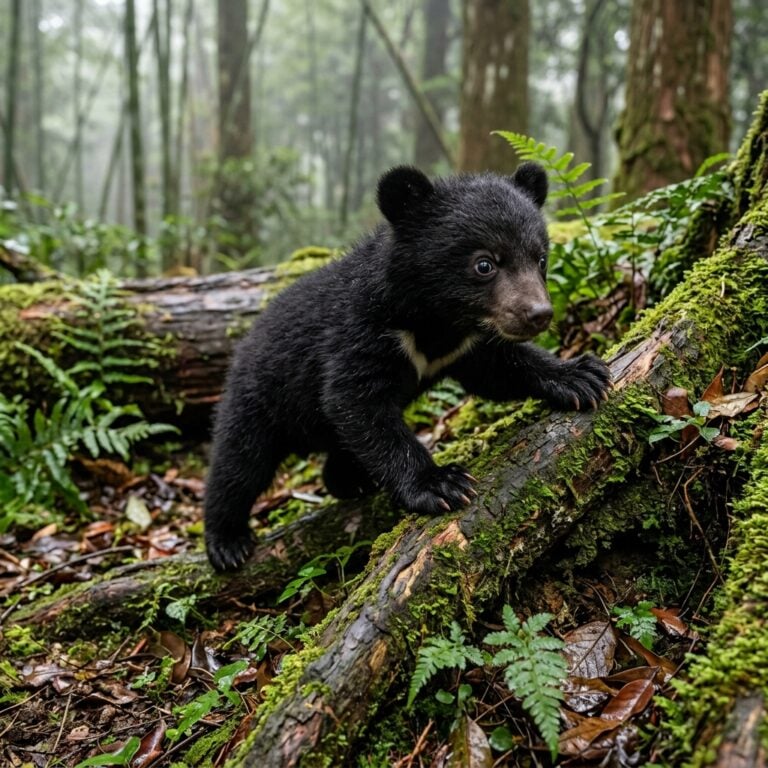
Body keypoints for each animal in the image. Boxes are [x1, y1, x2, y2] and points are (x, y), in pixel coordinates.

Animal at [204, 162, 612, 571]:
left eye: (540, 258)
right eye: (484, 264)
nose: (539, 314)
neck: (435, 320)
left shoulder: (466, 346)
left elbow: (500, 368)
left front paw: (582, 377)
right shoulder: (361, 332)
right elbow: (356, 402)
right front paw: (441, 484)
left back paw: (350, 479)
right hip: (259, 399)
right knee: (239, 464)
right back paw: (227, 542)